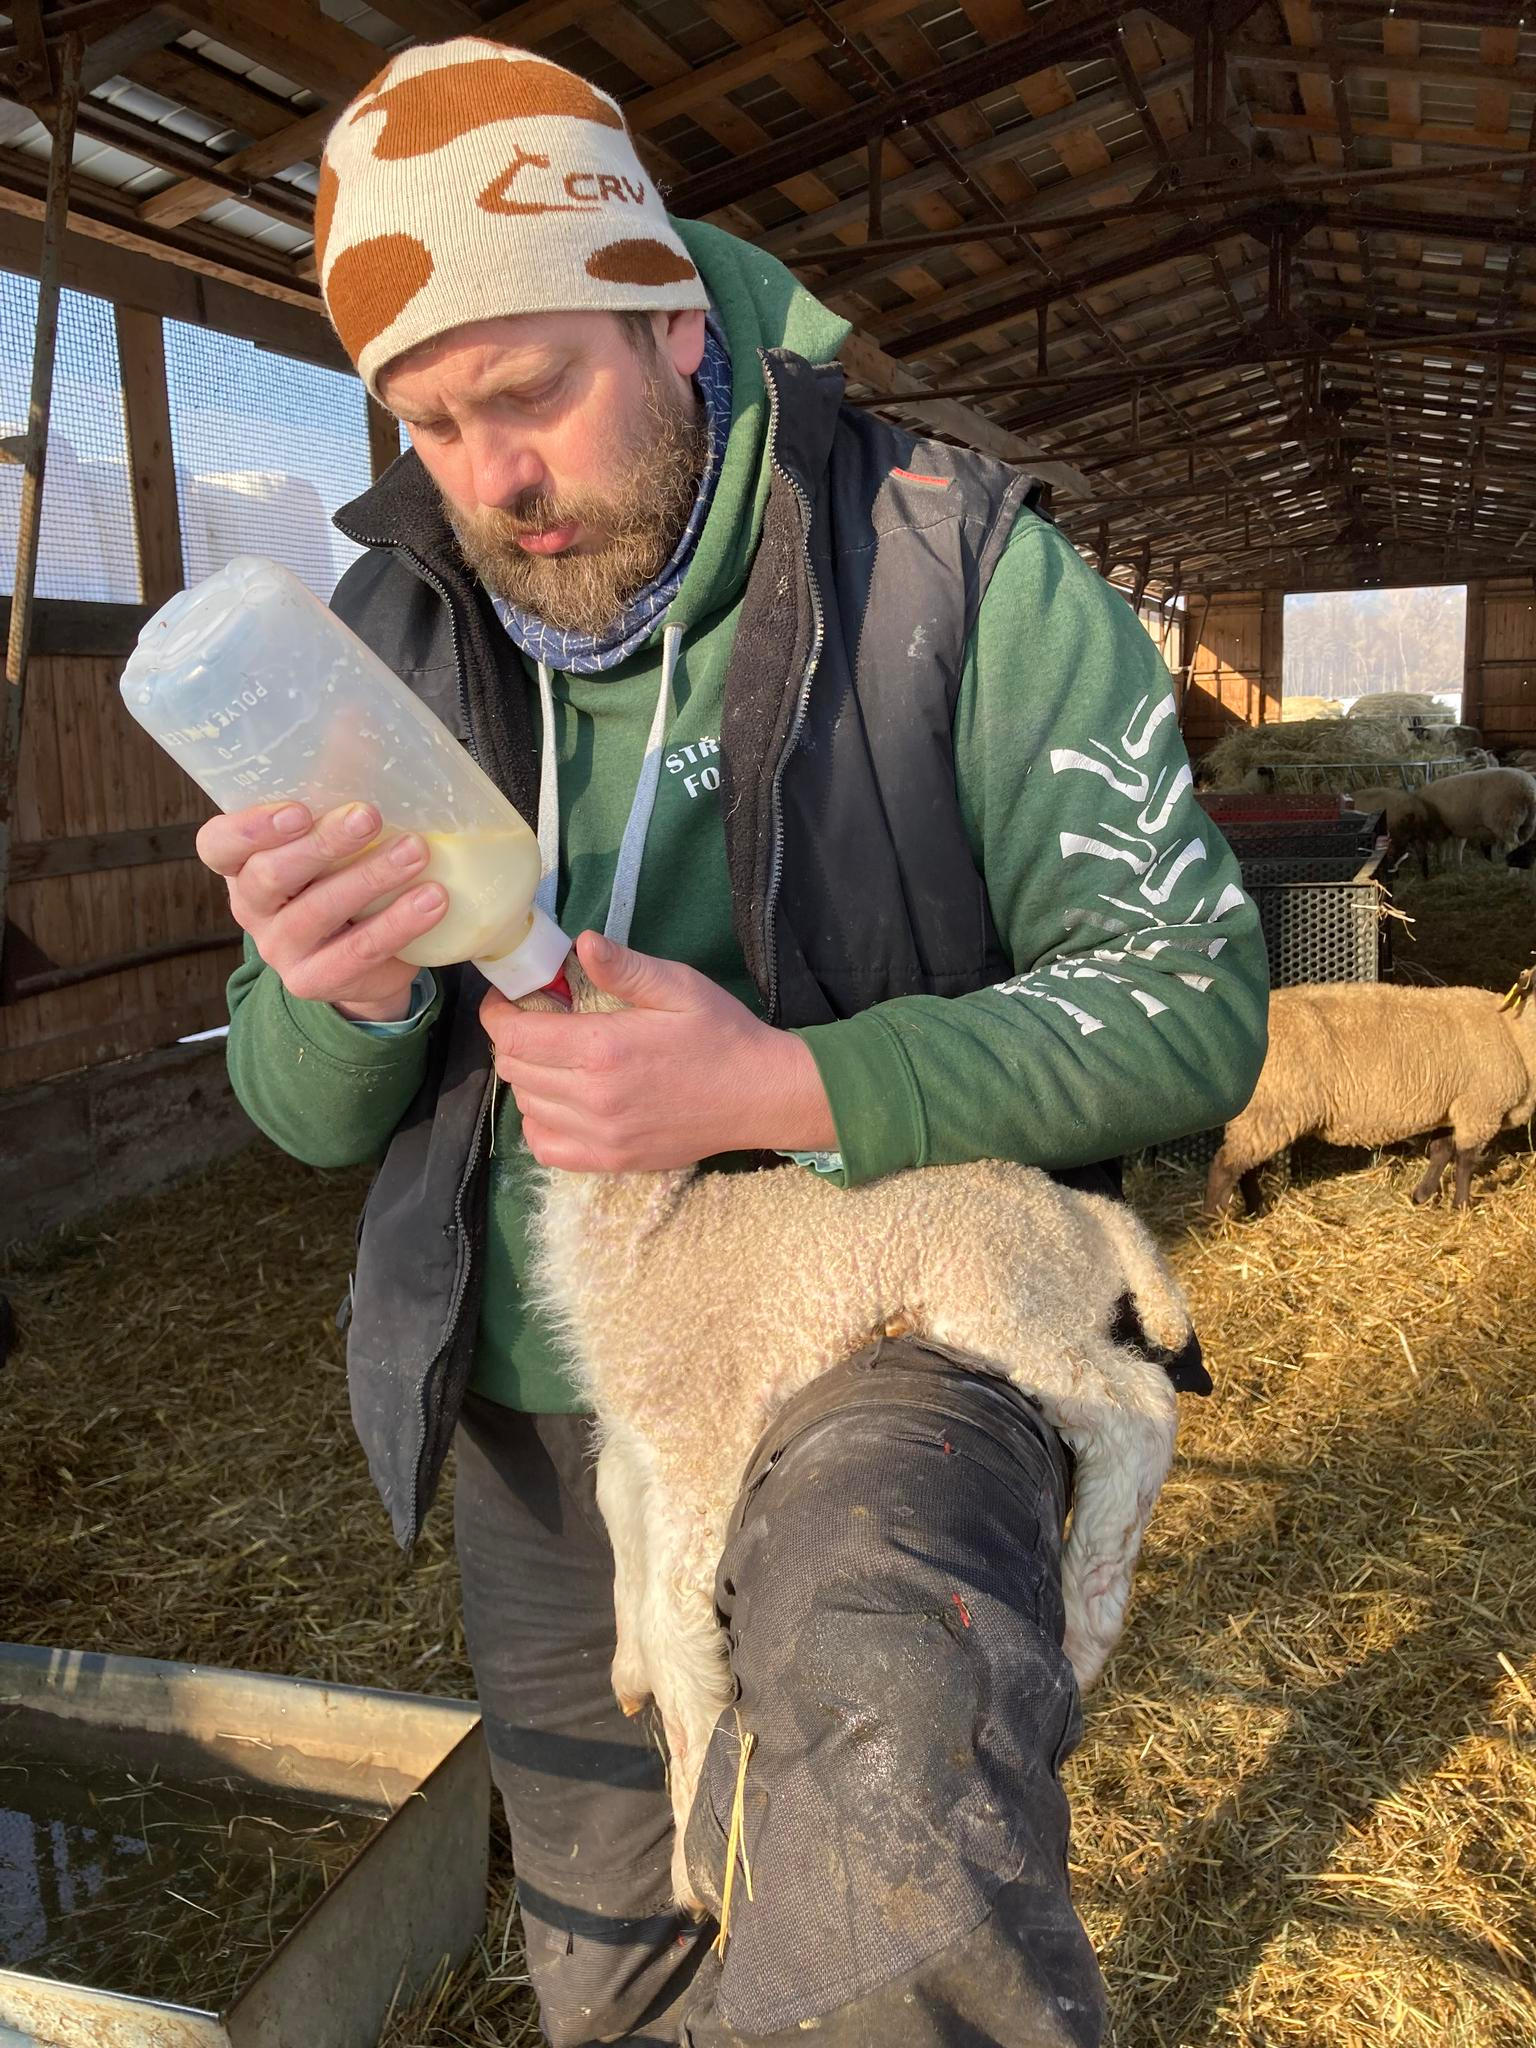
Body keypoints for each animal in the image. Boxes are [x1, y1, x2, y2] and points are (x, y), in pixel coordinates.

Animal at [519, 960, 1193, 1908]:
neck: (651, 1242)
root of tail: (1092, 1220)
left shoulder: (701, 1435)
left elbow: (675, 1622)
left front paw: (691, 1854)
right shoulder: (634, 1439)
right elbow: (620, 1529)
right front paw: (625, 1677)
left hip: (1003, 1302)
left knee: (1139, 1403)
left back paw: (1090, 1612)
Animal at [1204, 967, 1536, 1218]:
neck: (1513, 1028)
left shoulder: (1453, 1105)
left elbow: (1441, 1151)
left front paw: (1423, 1195)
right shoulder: (1480, 1108)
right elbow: (1466, 1161)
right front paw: (1462, 1207)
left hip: (1259, 1110)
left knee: (1243, 1165)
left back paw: (1255, 1210)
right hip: (1271, 1107)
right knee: (1226, 1165)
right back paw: (1217, 1223)